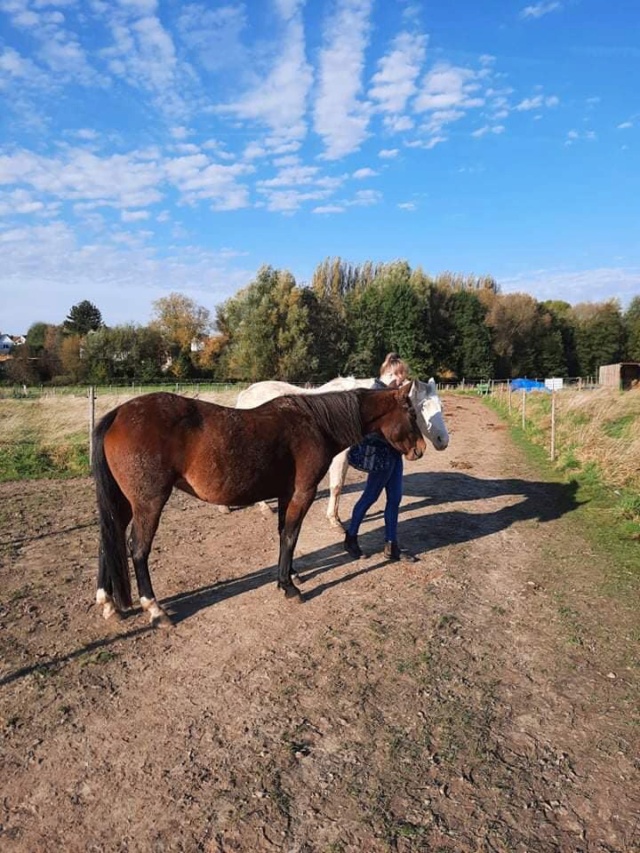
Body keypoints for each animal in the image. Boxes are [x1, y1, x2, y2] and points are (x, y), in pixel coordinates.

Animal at [91, 386, 424, 624]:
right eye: (411, 412)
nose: (420, 449)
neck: (315, 424)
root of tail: (118, 414)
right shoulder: (302, 493)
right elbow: (290, 535)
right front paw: (288, 586)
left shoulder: (286, 494)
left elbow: (284, 534)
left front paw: (291, 574)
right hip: (148, 503)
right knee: (137, 549)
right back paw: (155, 609)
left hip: (122, 504)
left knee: (109, 542)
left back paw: (109, 604)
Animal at [226, 374, 450, 524]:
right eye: (421, 408)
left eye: (440, 405)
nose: (443, 441)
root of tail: (246, 393)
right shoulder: (340, 458)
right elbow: (337, 486)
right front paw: (334, 520)